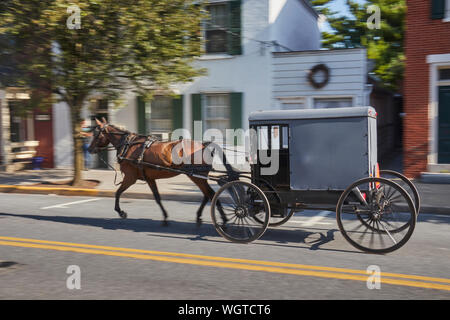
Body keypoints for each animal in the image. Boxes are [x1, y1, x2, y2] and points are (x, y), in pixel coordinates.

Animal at [86, 117, 223, 225]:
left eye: (96, 134)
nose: (89, 149)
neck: (127, 145)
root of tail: (204, 145)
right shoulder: (150, 179)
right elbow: (157, 198)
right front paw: (165, 217)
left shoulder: (130, 178)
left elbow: (118, 193)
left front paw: (121, 212)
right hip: (198, 177)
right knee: (207, 194)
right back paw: (202, 216)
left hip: (196, 176)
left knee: (210, 194)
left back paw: (223, 218)